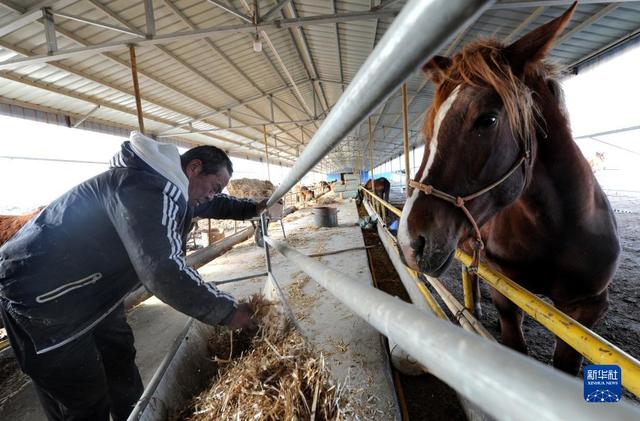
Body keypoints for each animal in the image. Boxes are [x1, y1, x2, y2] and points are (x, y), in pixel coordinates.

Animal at [398, 1, 616, 372]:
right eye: (430, 127)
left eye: (487, 119)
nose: (410, 243)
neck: (561, 227)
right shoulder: (506, 292)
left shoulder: (585, 311)